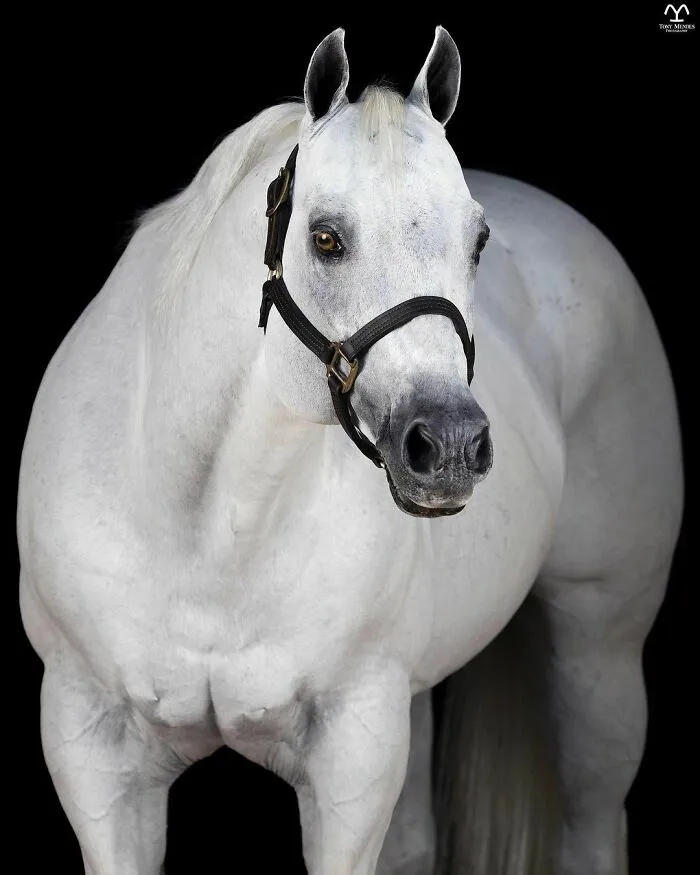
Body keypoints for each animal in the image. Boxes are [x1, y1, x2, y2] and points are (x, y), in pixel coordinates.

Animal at [17, 25, 683, 875]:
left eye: (478, 240)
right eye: (325, 237)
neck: (207, 533)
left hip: (601, 650)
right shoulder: (93, 748)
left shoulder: (354, 755)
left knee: (594, 823)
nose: (449, 443)